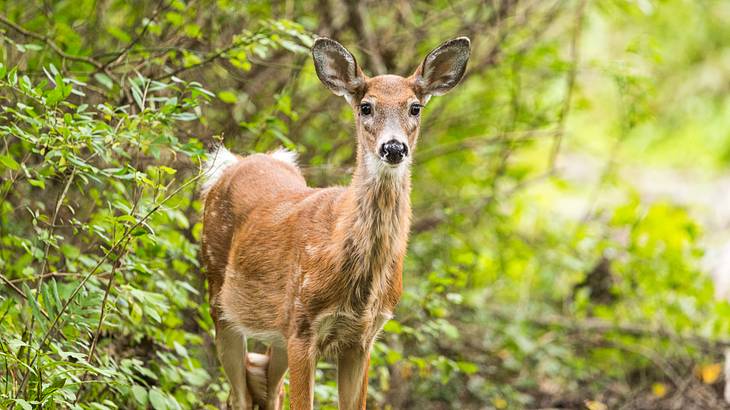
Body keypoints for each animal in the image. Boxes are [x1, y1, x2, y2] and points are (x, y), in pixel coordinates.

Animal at [199, 36, 470, 408]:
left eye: (415, 107)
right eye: (366, 107)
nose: (394, 148)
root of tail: (235, 161)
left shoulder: (364, 337)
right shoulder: (303, 325)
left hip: (277, 331)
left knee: (267, 386)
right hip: (221, 299)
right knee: (239, 393)